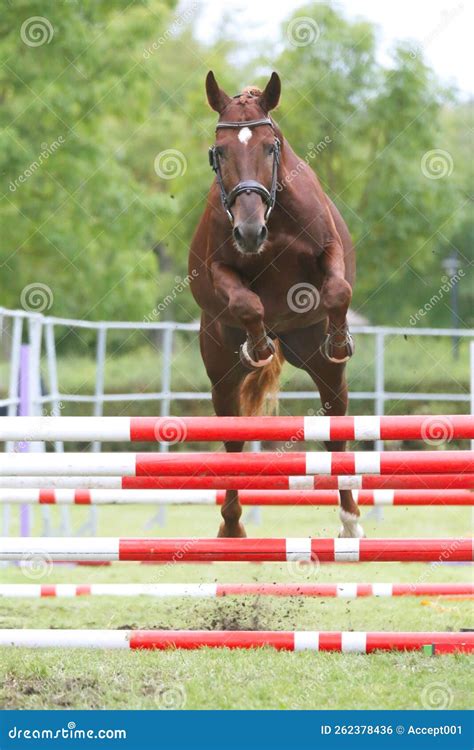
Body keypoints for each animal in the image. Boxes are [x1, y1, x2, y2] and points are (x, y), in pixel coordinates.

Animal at [187, 72, 362, 540]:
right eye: (220, 152)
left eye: (270, 146)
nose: (249, 232)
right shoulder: (220, 269)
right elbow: (247, 302)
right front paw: (259, 346)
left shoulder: (328, 251)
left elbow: (337, 290)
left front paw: (339, 339)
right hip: (221, 373)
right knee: (233, 441)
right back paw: (232, 529)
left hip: (321, 367)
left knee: (336, 428)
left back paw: (351, 522)